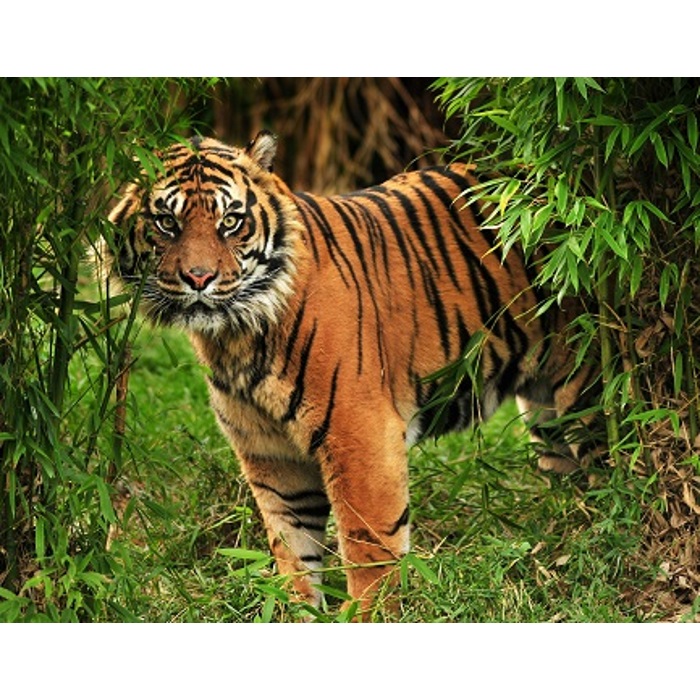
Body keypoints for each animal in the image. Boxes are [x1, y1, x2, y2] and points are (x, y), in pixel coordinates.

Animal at [103, 131, 598, 617]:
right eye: (166, 223)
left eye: (230, 222)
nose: (199, 278)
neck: (235, 335)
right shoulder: (271, 454)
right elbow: (293, 551)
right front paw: (295, 612)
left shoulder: (360, 435)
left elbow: (370, 548)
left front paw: (369, 613)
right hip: (546, 414)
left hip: (587, 386)